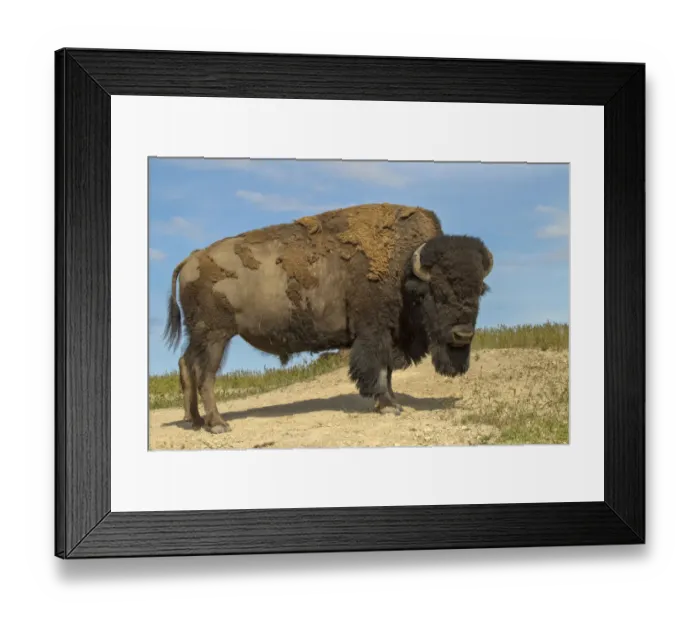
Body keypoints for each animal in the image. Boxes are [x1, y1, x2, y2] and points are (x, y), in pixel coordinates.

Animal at [163, 203, 493, 433]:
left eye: (480, 290)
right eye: (437, 292)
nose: (463, 335)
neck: (404, 269)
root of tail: (192, 258)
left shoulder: (388, 334)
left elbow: (388, 371)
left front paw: (393, 402)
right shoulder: (374, 332)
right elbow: (379, 369)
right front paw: (387, 405)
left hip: (201, 336)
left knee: (186, 364)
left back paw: (194, 420)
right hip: (215, 336)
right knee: (205, 374)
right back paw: (217, 424)